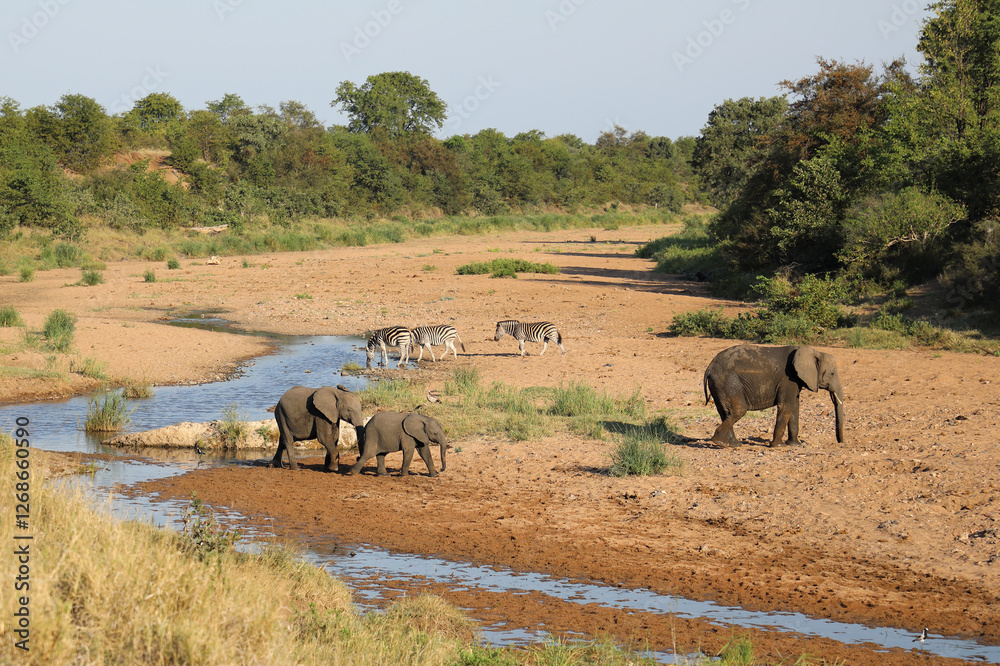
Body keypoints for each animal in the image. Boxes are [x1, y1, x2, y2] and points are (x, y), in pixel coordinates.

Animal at [703, 344, 844, 448]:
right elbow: (786, 406)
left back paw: (733, 444)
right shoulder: (788, 378)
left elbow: (794, 407)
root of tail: (709, 367)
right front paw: (778, 446)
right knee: (739, 410)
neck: (814, 351)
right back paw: (719, 442)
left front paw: (796, 445)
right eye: (832, 374)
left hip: (719, 385)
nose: (840, 442)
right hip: (728, 382)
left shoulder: (794, 381)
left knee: (726, 413)